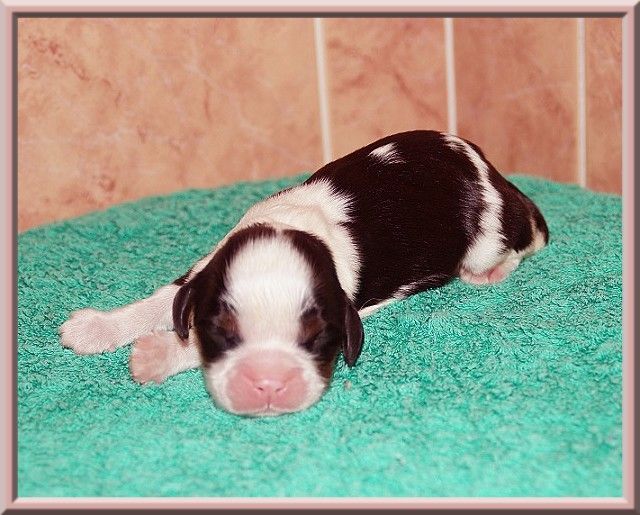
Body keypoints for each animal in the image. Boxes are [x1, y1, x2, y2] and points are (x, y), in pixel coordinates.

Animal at [60, 130, 549, 417]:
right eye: (225, 330)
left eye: (314, 338)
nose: (270, 384)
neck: (291, 225)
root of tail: (491, 170)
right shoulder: (203, 273)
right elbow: (162, 301)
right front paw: (93, 329)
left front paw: (154, 355)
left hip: (486, 241)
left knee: (526, 241)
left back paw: (493, 271)